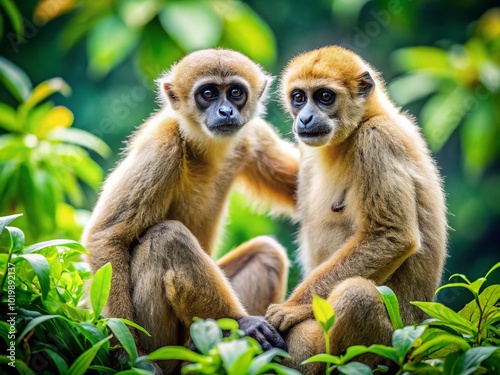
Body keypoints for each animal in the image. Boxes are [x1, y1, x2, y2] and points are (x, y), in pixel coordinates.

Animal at [82, 48, 298, 374]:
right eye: (208, 94)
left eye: (235, 93)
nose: (225, 111)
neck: (201, 149)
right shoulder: (162, 147)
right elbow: (106, 237)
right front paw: (126, 355)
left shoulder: (253, 136)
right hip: (161, 341)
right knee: (166, 237)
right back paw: (240, 323)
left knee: (266, 253)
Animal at [268, 45, 448, 374]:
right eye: (299, 97)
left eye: (324, 96)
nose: (305, 117)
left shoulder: (376, 140)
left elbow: (391, 236)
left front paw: (291, 309)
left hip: (395, 343)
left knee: (357, 295)